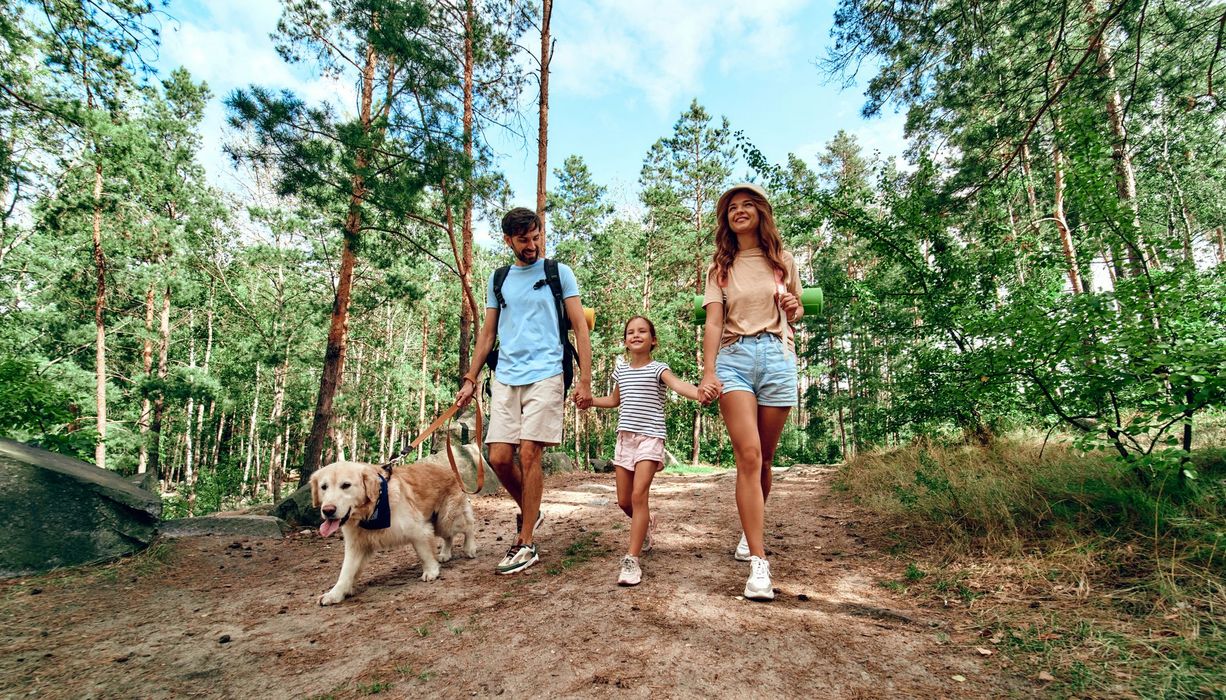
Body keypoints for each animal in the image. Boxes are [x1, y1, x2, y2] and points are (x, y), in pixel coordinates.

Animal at [308, 463, 475, 605]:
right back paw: (445, 554)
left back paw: (470, 548)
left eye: (346, 485)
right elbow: (346, 571)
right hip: (440, 524)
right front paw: (334, 594)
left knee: (469, 526)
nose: (328, 510)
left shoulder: (418, 529)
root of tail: (449, 469)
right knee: (449, 537)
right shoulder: (356, 545)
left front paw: (431, 571)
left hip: (447, 519)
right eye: (324, 487)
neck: (373, 509)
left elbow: (424, 554)